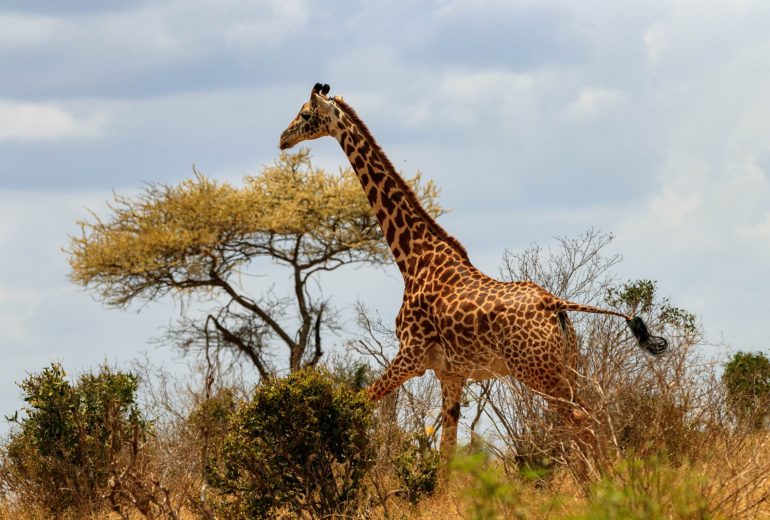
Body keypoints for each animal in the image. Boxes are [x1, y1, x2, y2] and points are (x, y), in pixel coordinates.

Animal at [278, 81, 664, 456]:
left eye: (306, 114)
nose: (283, 138)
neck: (413, 258)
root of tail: (555, 304)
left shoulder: (411, 355)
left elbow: (357, 404)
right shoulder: (451, 374)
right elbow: (446, 452)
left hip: (538, 371)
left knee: (584, 423)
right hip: (566, 366)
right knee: (590, 418)